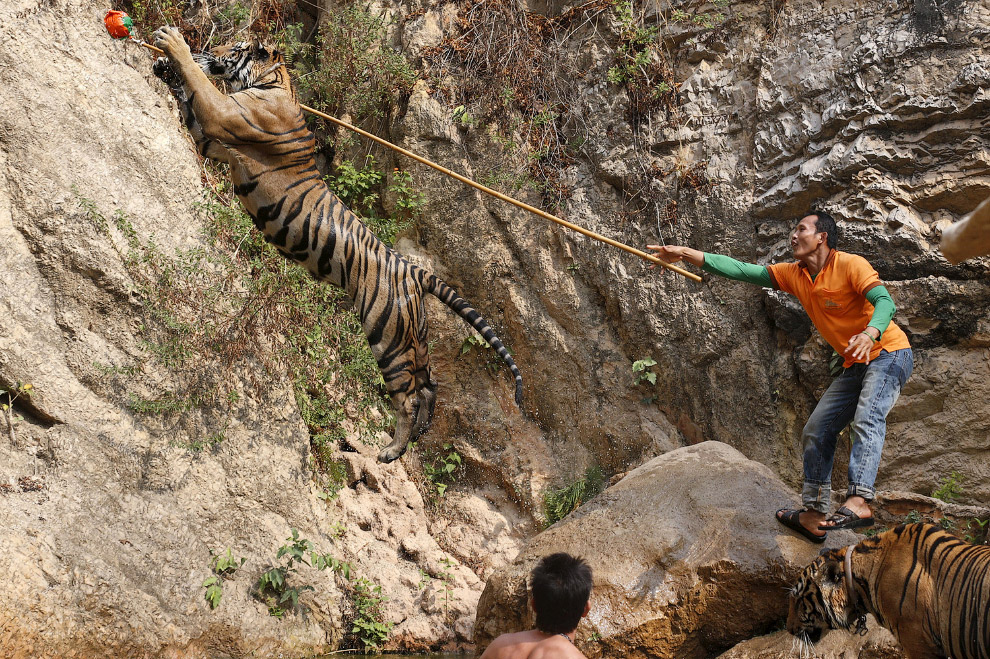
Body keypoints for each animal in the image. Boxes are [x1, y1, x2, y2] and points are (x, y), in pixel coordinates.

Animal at [151, 27, 524, 464]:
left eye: (235, 47)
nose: (210, 49)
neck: (275, 82)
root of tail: (411, 267)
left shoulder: (222, 116)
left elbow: (198, 84)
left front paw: (172, 46)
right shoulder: (210, 137)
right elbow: (189, 96)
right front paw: (163, 66)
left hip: (388, 336)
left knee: (408, 397)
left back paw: (390, 451)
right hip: (414, 334)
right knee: (431, 384)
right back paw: (415, 438)